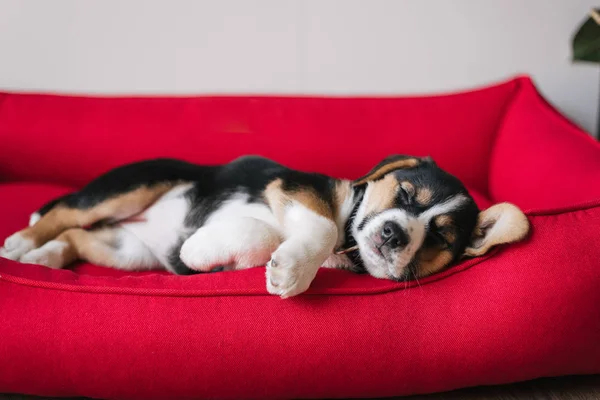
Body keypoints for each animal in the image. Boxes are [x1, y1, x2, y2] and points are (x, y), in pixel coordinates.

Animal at [0, 155, 528, 296]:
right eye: (403, 195)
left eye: (440, 235)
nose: (393, 234)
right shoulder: (294, 186)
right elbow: (320, 226)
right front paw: (293, 272)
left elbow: (265, 239)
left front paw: (200, 249)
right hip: (131, 187)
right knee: (67, 215)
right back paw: (21, 242)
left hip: (129, 252)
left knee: (75, 236)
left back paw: (45, 256)